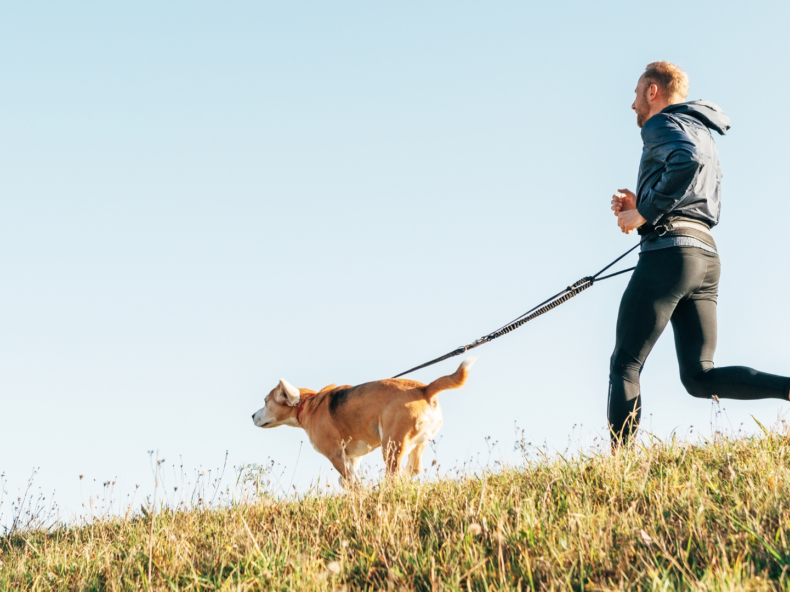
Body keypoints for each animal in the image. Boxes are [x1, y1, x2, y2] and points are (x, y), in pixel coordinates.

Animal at [254, 358, 476, 484]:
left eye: (265, 401)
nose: (252, 416)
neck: (308, 403)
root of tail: (425, 389)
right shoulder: (352, 456)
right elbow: (346, 480)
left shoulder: (336, 455)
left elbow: (352, 482)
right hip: (418, 442)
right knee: (413, 469)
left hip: (392, 445)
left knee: (394, 475)